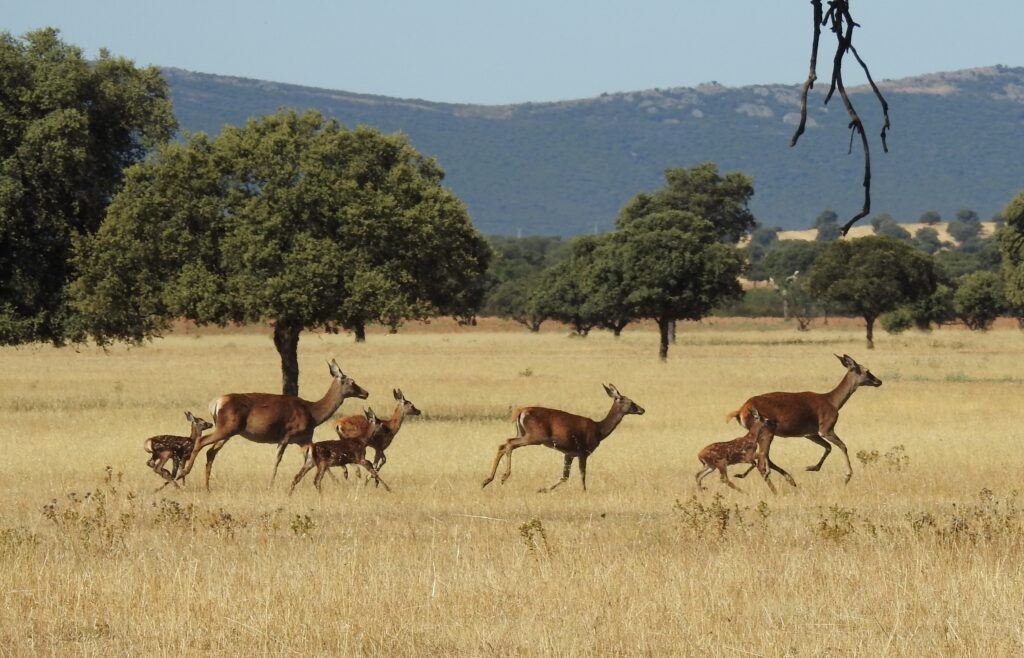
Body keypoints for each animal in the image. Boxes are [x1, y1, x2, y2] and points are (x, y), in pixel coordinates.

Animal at [179, 360, 368, 489]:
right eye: (351, 381)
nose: (366, 393)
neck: (313, 413)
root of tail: (215, 403)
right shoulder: (286, 435)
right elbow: (277, 459)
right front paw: (270, 484)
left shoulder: (304, 439)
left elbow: (312, 457)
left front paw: (338, 481)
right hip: (227, 428)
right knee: (201, 442)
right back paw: (184, 473)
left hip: (228, 431)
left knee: (211, 452)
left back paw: (206, 486)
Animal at [477, 380, 638, 495]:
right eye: (630, 401)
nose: (641, 409)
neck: (599, 430)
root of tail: (520, 411)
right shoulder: (582, 452)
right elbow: (582, 473)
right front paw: (584, 491)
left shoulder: (569, 453)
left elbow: (564, 476)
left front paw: (542, 489)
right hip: (535, 436)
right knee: (509, 443)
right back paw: (503, 477)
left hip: (522, 433)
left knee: (503, 444)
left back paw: (486, 481)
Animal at [724, 356, 884, 483]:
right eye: (866, 370)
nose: (879, 381)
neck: (831, 401)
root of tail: (742, 409)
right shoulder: (826, 430)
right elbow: (843, 446)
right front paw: (847, 476)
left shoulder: (810, 434)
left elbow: (828, 447)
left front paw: (811, 467)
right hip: (767, 433)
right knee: (763, 458)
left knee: (761, 457)